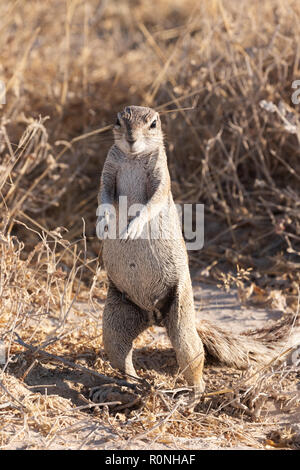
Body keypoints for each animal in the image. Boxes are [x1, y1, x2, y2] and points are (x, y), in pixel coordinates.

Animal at [97, 106, 296, 400]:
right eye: (118, 121)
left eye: (153, 124)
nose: (131, 139)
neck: (133, 156)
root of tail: (154, 316)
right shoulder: (108, 170)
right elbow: (104, 195)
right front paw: (105, 221)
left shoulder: (161, 175)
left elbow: (153, 202)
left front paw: (133, 227)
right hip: (116, 320)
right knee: (122, 358)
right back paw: (124, 386)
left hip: (180, 320)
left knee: (193, 359)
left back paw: (188, 395)